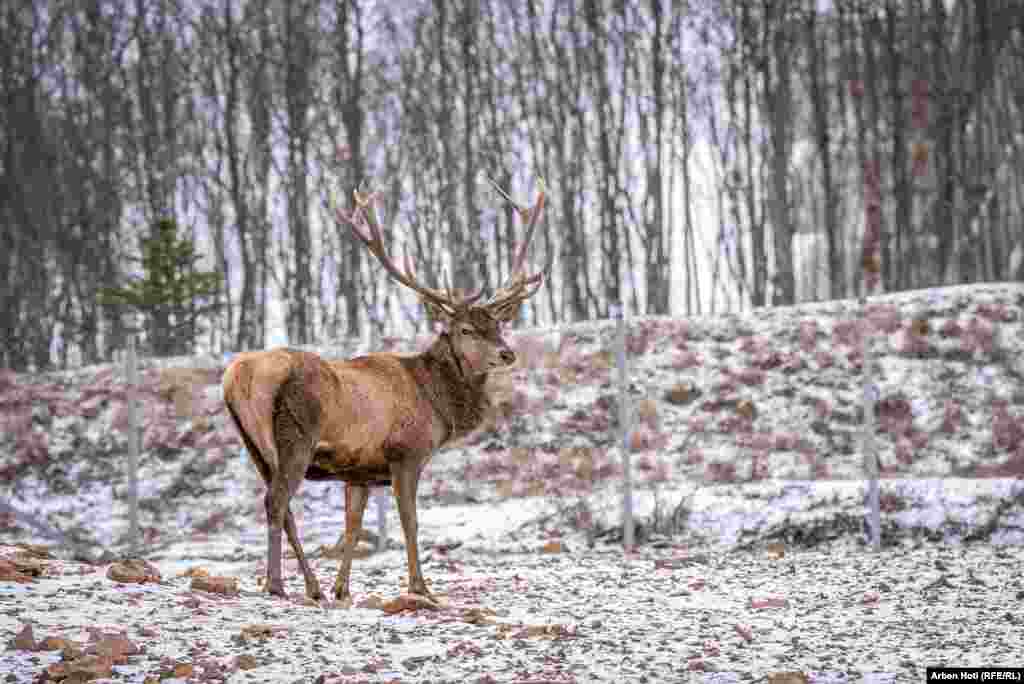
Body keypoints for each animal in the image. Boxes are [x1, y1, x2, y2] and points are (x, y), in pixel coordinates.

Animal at [221, 180, 548, 602]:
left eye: (498, 325)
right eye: (465, 330)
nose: (507, 353)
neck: (436, 403)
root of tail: (237, 376)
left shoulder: (359, 471)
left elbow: (353, 527)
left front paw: (342, 589)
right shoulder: (406, 454)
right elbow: (410, 521)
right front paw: (421, 587)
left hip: (255, 447)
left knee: (281, 505)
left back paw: (311, 587)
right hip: (296, 436)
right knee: (277, 501)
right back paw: (277, 585)